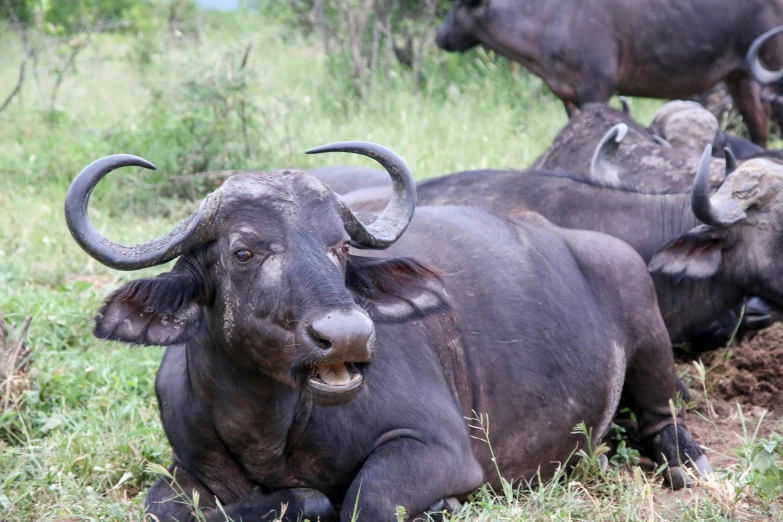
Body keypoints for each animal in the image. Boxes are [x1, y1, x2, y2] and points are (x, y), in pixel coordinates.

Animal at [64, 142, 708, 520]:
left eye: (340, 247)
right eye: (243, 251)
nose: (348, 335)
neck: (270, 427)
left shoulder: (440, 451)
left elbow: (362, 501)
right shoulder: (186, 470)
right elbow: (164, 508)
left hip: (648, 335)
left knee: (661, 417)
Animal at [438, 1, 783, 146]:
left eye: (457, 6)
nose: (440, 37)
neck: (547, 19)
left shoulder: (596, 90)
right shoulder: (568, 95)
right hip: (739, 76)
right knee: (759, 124)